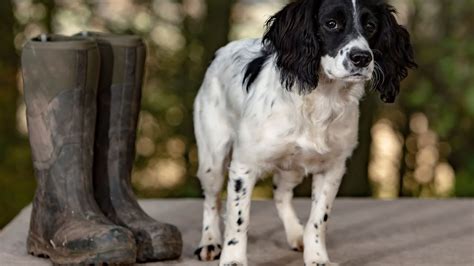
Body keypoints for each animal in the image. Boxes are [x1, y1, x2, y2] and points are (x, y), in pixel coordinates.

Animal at [193, 0, 414, 264]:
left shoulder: (333, 167)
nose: (361, 58)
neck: (321, 99)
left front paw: (317, 256)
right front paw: (233, 259)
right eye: (331, 23)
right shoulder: (244, 165)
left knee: (280, 193)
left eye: (370, 26)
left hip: (293, 166)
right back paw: (209, 241)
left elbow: (318, 220)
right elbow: (238, 220)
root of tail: (222, 51)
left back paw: (295, 233)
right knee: (211, 200)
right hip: (213, 158)